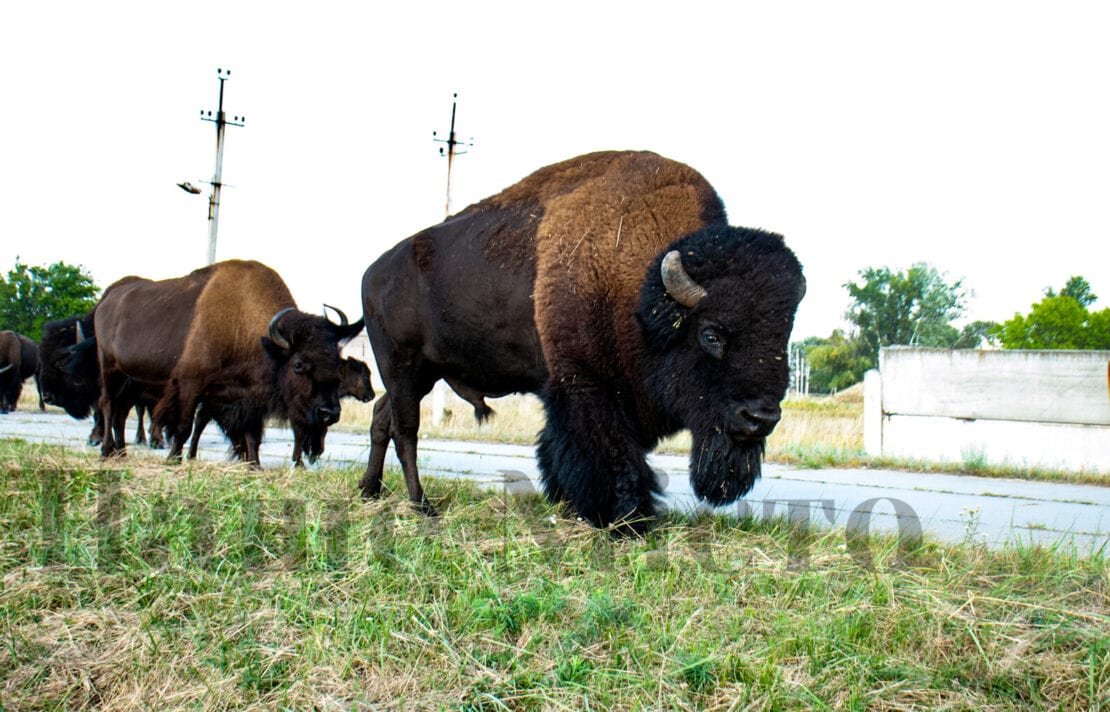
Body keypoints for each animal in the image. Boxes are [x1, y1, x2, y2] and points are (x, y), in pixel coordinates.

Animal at [94, 257, 364, 464]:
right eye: (298, 365)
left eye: (337, 362)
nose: (329, 413)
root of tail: (107, 300)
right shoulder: (191, 384)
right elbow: (184, 426)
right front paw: (174, 460)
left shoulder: (248, 399)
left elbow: (252, 436)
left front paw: (255, 466)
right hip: (109, 368)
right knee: (108, 404)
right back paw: (107, 450)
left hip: (132, 380)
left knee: (120, 412)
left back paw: (121, 453)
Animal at [364, 149, 808, 528]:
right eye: (711, 334)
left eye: (782, 335)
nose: (760, 418)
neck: (640, 290)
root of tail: (374, 271)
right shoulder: (587, 387)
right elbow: (610, 456)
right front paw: (626, 521)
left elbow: (562, 451)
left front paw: (570, 504)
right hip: (402, 366)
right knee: (406, 430)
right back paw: (421, 505)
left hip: (422, 375)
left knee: (383, 418)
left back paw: (370, 491)